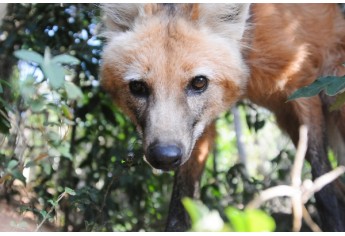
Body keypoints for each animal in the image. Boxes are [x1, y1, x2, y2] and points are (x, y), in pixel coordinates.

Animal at [101, 3, 344, 231]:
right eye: (138, 87)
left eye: (199, 83)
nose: (164, 157)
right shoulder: (198, 130)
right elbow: (180, 207)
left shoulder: (303, 86)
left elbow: (324, 188)